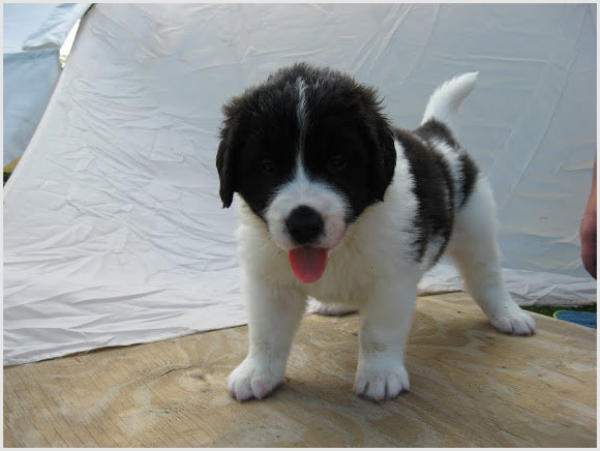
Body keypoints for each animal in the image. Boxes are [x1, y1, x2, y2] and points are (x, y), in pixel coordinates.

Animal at [216, 63, 535, 402]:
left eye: (338, 161)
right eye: (267, 166)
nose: (303, 223)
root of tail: (436, 134)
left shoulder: (392, 280)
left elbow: (378, 333)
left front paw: (379, 374)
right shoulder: (269, 281)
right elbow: (266, 333)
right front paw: (257, 372)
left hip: (476, 228)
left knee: (486, 277)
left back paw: (508, 313)